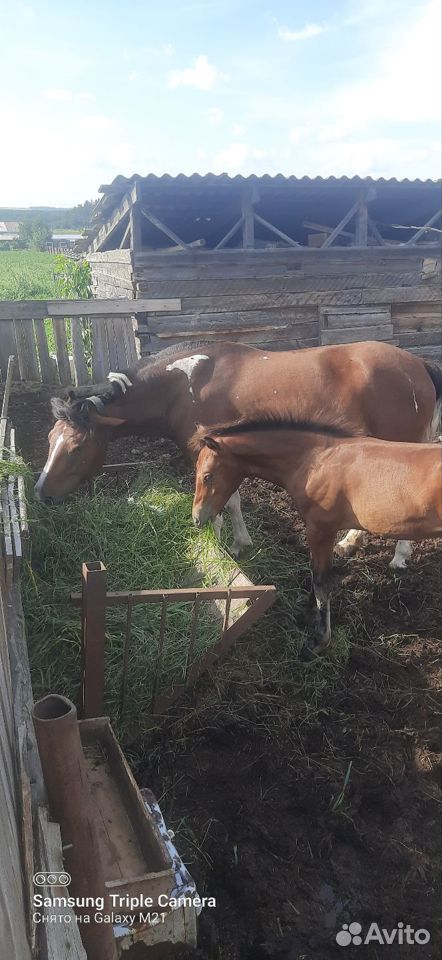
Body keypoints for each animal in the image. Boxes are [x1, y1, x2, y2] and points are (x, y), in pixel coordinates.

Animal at [36, 338, 440, 564]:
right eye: (50, 440)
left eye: (76, 447)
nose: (42, 494)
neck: (182, 386)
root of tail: (417, 364)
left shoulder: (212, 453)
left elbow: (224, 499)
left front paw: (223, 543)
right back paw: (351, 543)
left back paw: (397, 555)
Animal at [192, 420, 440, 652]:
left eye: (207, 476)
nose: (196, 518)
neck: (316, 462)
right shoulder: (317, 532)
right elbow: (314, 573)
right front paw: (305, 613)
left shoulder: (321, 530)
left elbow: (321, 581)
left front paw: (319, 641)